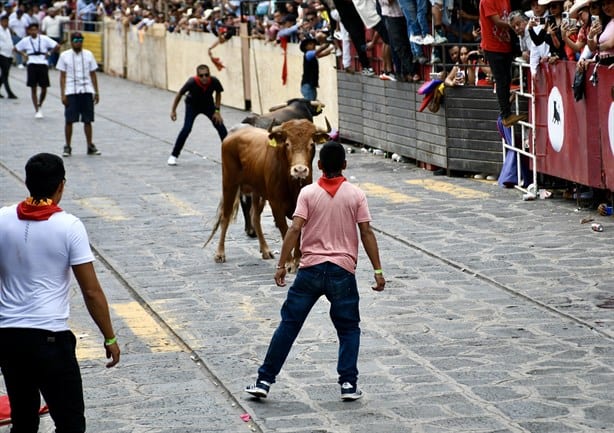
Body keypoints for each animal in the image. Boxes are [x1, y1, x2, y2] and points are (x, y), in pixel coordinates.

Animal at [207, 117, 332, 266]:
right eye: (287, 144)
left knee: (254, 216)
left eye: (312, 144)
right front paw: (289, 262)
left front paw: (297, 260)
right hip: (229, 184)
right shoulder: (276, 204)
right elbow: (285, 230)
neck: (291, 184)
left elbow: (298, 232)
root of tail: (234, 132)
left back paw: (265, 250)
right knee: (225, 216)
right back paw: (220, 253)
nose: (300, 170)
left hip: (257, 191)